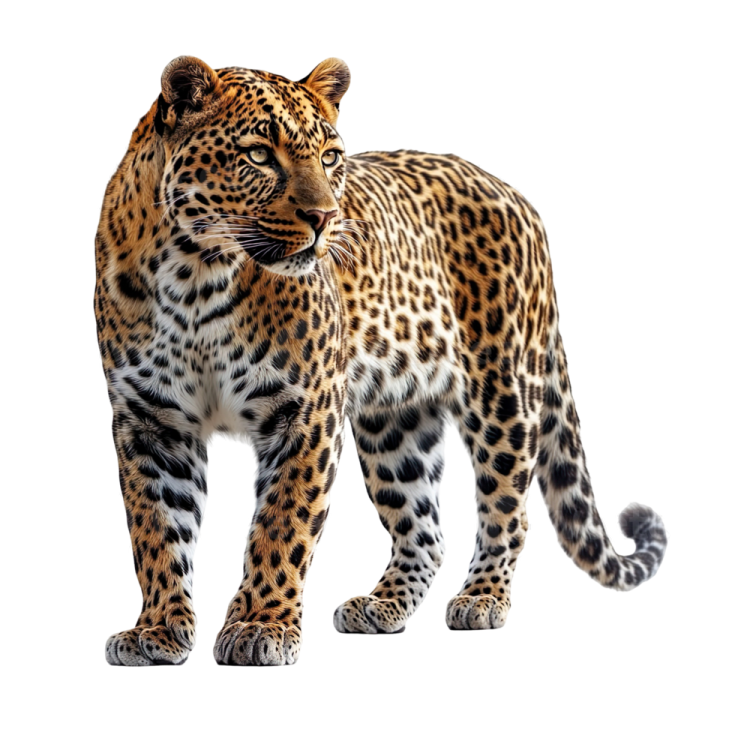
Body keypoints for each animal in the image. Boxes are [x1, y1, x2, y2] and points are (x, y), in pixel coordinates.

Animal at [93, 54, 668, 668]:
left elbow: (281, 523)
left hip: (502, 391)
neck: (195, 278)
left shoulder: (304, 411)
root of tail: (516, 197)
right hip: (397, 418)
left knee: (507, 509)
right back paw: (382, 606)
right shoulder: (152, 422)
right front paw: (157, 630)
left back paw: (482, 598)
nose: (324, 217)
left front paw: (260, 626)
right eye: (259, 155)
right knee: (426, 533)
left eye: (329, 157)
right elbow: (156, 530)